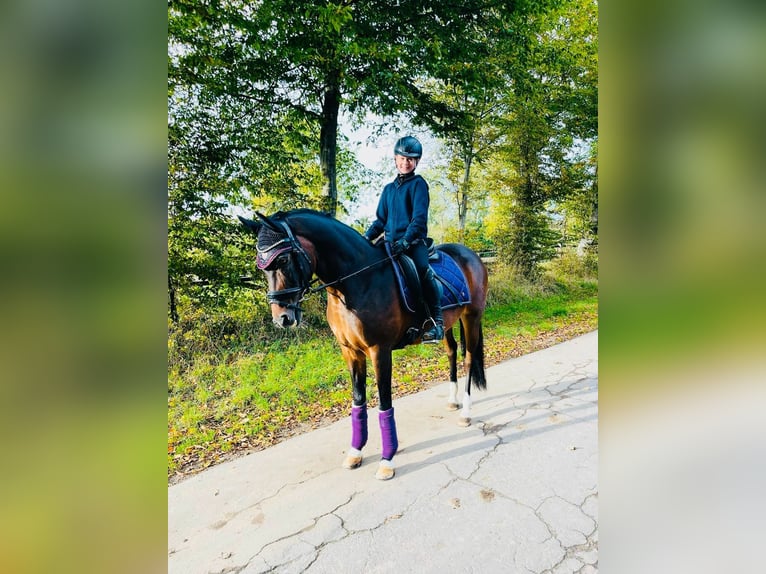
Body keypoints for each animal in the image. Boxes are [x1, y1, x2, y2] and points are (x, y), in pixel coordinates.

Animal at [242, 208, 492, 482]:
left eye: (284, 259)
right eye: (261, 265)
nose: (282, 318)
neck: (357, 282)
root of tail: (470, 254)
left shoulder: (379, 351)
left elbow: (384, 402)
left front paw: (387, 459)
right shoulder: (350, 352)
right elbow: (358, 400)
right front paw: (355, 452)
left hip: (472, 316)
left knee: (468, 358)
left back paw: (466, 413)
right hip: (448, 322)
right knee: (451, 352)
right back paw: (452, 400)